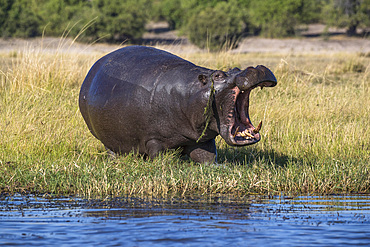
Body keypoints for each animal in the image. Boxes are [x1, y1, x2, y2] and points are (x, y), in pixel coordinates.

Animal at [79, 45, 276, 163]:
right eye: (218, 75)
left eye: (235, 69)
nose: (255, 68)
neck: (191, 92)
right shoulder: (154, 139)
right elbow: (159, 155)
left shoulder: (202, 139)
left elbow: (207, 157)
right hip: (107, 139)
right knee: (112, 149)